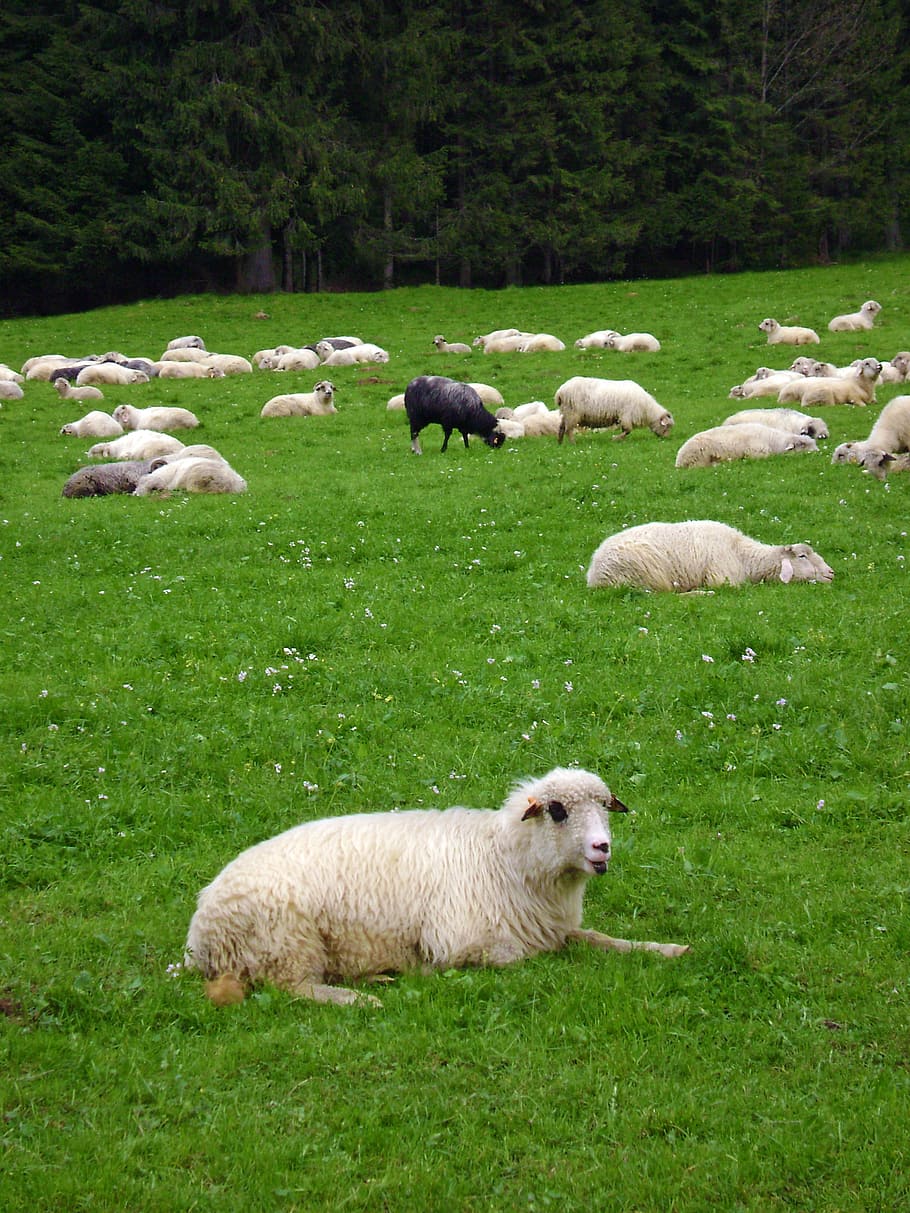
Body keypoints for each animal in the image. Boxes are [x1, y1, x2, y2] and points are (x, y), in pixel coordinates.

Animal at [183, 766, 688, 1007]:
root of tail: (199, 936)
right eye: (558, 810)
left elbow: (599, 938)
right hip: (287, 942)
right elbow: (518, 957)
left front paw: (667, 949)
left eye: (605, 807)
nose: (603, 848)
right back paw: (359, 997)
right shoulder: (462, 938)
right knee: (294, 988)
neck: (502, 858)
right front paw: (426, 970)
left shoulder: (552, 927)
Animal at [586, 520, 834, 592]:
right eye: (802, 556)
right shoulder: (723, 578)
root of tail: (594, 573)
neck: (742, 555)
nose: (831, 573)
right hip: (650, 574)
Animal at [675, 423, 817, 468]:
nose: (817, 451)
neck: (774, 441)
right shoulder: (757, 453)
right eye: (802, 445)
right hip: (699, 460)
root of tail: (678, 461)